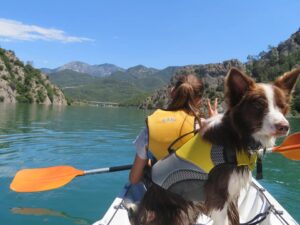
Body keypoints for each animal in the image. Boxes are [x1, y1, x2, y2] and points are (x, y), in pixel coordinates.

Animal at [134, 67, 300, 225]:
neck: (237, 137)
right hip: (180, 211)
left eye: (282, 106)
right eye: (259, 105)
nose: (284, 127)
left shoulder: (232, 193)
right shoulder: (218, 197)